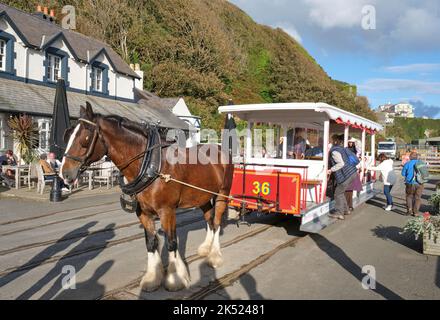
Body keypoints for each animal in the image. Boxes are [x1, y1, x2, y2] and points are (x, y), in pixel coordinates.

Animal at [61, 102, 237, 292]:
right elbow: (151, 243)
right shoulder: (143, 213)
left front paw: (175, 279)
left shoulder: (167, 211)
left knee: (217, 222)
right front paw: (152, 278)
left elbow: (171, 242)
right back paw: (206, 248)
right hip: (202, 197)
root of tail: (220, 149)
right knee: (209, 219)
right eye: (68, 134)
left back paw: (214, 256)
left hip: (222, 194)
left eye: (85, 137)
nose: (65, 173)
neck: (152, 165)